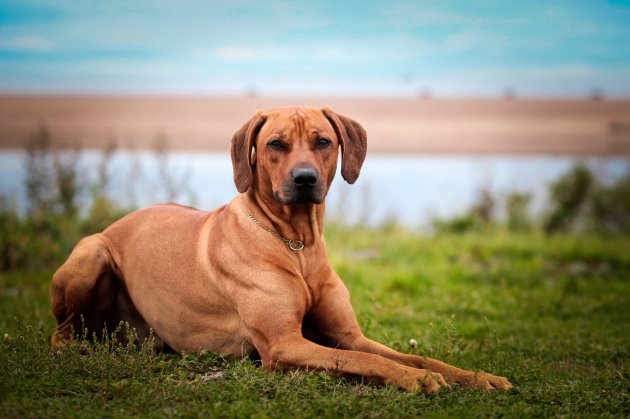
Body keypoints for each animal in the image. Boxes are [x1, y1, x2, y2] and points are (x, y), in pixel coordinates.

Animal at [50, 106, 512, 394]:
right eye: (275, 144)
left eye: (323, 141)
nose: (305, 178)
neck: (296, 242)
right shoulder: (282, 345)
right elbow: (365, 362)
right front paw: (414, 380)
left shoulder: (349, 335)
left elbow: (416, 357)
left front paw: (477, 377)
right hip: (91, 253)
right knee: (61, 334)